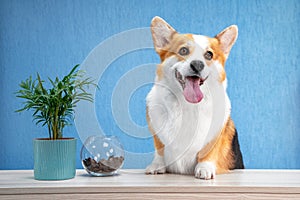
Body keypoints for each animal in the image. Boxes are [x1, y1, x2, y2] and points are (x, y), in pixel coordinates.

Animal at [145, 16, 244, 180]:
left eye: (209, 55)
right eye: (183, 50)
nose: (197, 65)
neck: (186, 104)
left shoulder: (216, 134)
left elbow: (208, 150)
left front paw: (204, 168)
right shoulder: (157, 134)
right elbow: (160, 149)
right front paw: (157, 166)